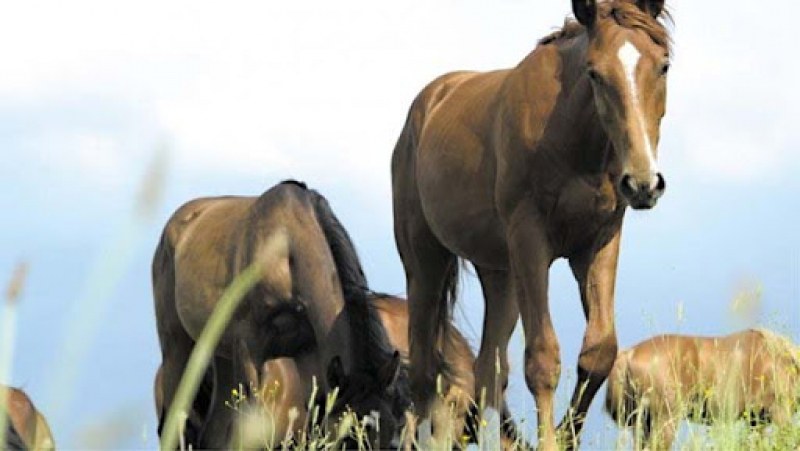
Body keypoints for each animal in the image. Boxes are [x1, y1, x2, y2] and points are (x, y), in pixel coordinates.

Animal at [153, 181, 410, 448]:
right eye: (349, 437)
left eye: (394, 430)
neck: (288, 248)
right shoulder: (248, 349)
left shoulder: (311, 361)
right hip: (177, 347)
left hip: (221, 354)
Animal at [390, 0, 672, 448]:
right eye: (595, 72)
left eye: (663, 66)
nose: (643, 182)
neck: (573, 142)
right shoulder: (530, 239)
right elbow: (542, 358)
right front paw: (549, 439)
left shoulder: (597, 242)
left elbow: (599, 351)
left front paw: (565, 436)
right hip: (425, 262)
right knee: (423, 373)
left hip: (499, 273)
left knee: (488, 369)